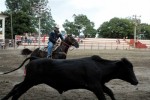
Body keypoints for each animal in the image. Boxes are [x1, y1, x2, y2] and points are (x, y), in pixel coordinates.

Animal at [0, 55, 138, 100]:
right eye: (128, 68)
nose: (136, 81)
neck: (99, 66)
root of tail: (35, 58)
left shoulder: (101, 85)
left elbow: (110, 92)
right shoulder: (95, 86)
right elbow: (104, 96)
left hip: (28, 81)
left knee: (15, 87)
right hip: (30, 81)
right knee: (18, 92)